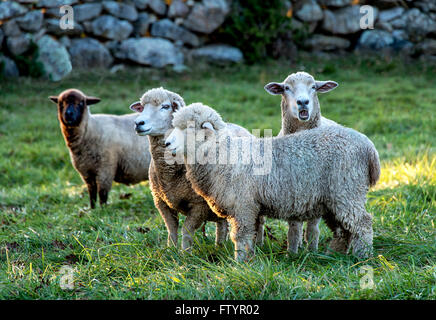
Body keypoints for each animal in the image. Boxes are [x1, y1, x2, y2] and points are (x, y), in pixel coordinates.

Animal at [129, 87, 266, 250]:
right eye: (142, 107)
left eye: (165, 106)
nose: (138, 123)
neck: (169, 173)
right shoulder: (161, 202)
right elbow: (171, 229)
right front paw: (171, 249)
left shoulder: (198, 205)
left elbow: (186, 229)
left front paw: (185, 252)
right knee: (222, 224)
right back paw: (219, 246)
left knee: (259, 221)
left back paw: (258, 244)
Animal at [165, 104, 380, 262]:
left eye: (190, 127)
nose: (167, 144)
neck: (223, 153)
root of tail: (368, 146)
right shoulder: (250, 207)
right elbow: (250, 235)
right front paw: (249, 259)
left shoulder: (243, 205)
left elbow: (240, 236)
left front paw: (239, 263)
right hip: (333, 199)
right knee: (343, 230)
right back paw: (334, 256)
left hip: (347, 190)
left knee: (362, 224)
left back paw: (363, 257)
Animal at [262, 71, 340, 254]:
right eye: (286, 88)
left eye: (313, 87)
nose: (303, 102)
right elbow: (294, 227)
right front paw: (292, 252)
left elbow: (312, 227)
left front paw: (312, 251)